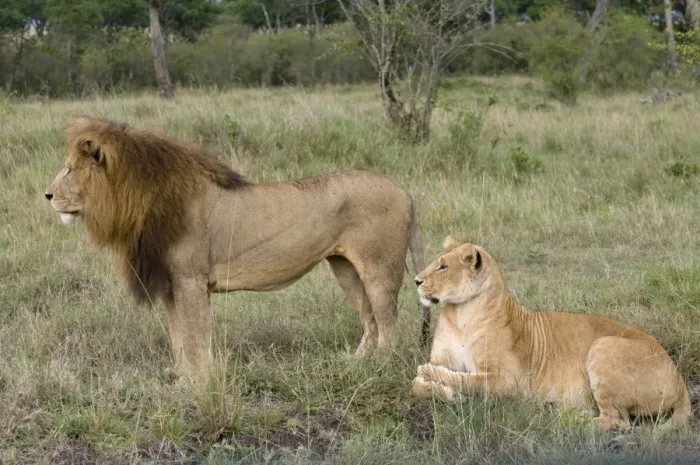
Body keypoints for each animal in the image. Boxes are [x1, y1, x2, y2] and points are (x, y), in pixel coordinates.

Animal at [45, 116, 431, 383]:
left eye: (71, 169)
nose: (47, 195)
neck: (142, 202)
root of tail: (405, 191)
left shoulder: (191, 280)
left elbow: (197, 337)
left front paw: (202, 382)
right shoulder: (171, 285)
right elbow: (179, 339)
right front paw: (183, 381)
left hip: (380, 270)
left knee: (389, 324)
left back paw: (378, 368)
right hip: (345, 268)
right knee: (370, 319)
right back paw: (355, 364)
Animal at [411, 236, 691, 432]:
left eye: (443, 267)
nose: (416, 281)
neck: (460, 315)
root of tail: (679, 377)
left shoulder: (509, 380)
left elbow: (465, 380)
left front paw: (439, 379)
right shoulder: (442, 358)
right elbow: (417, 384)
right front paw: (447, 393)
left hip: (604, 345)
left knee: (618, 421)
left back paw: (565, 418)